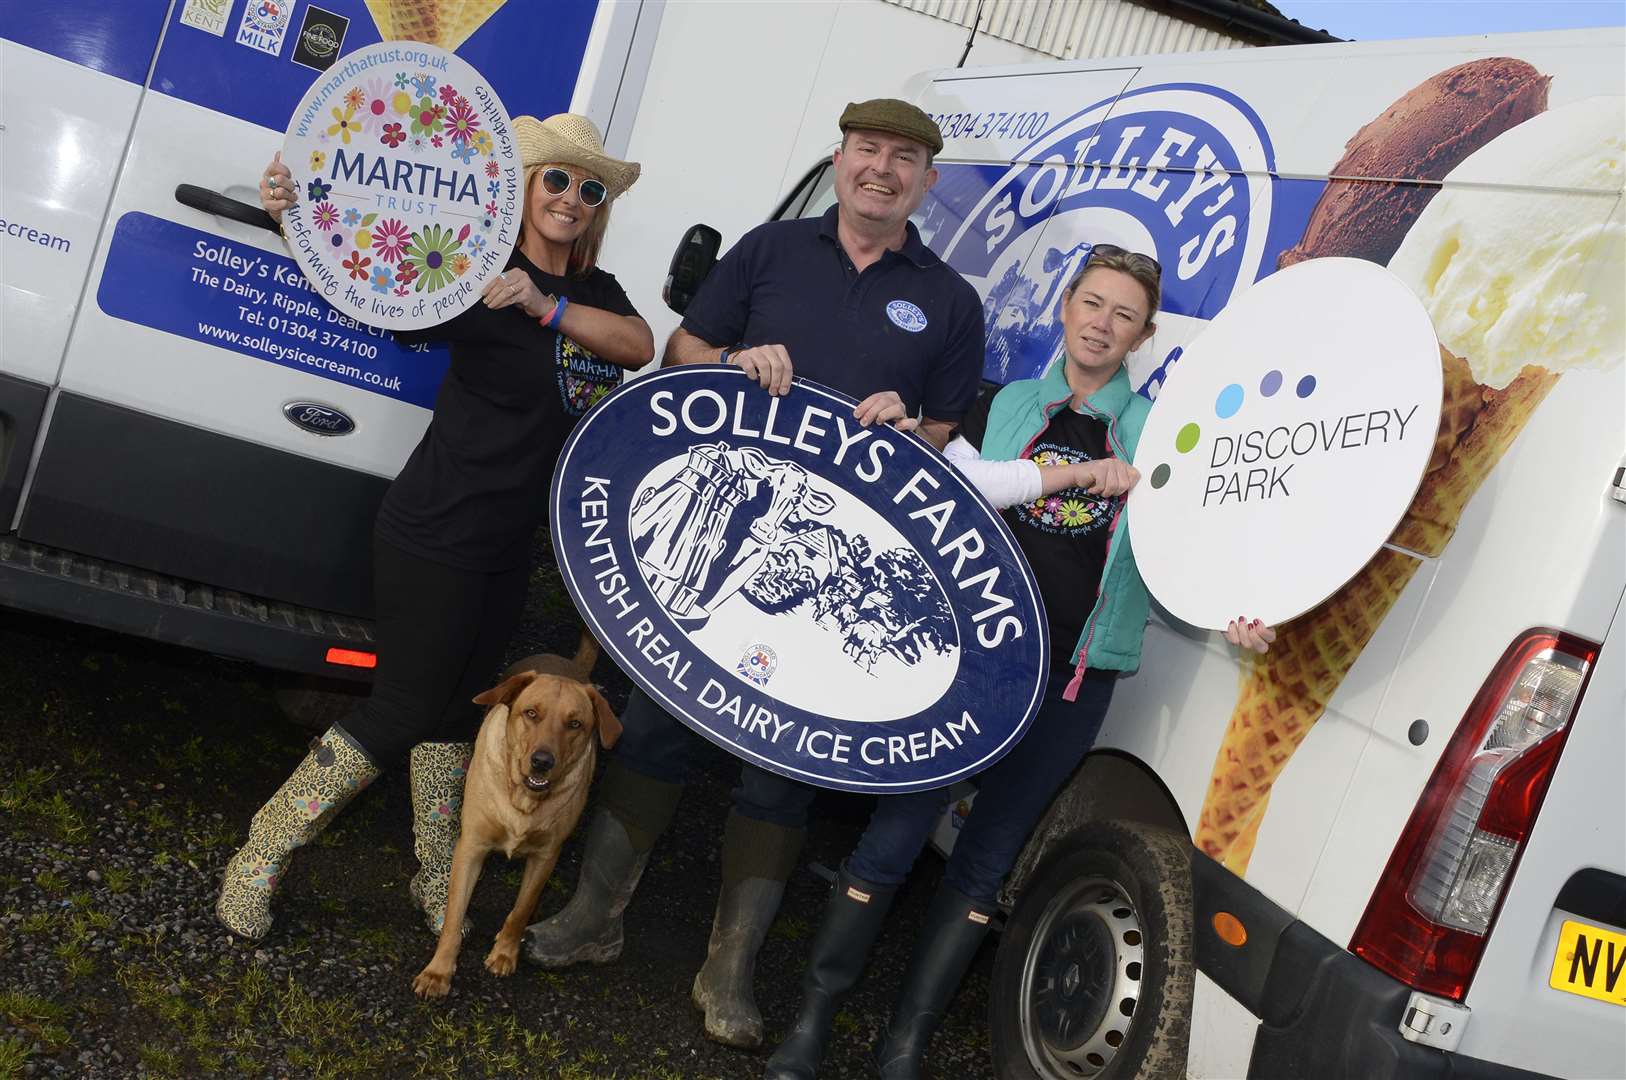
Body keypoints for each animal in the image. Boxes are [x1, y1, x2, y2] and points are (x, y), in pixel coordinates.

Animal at [413, 637, 621, 1001]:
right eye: (531, 713)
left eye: (575, 724)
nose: (542, 761)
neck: (524, 800)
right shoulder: (471, 848)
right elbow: (453, 917)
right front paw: (439, 971)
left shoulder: (546, 856)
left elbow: (521, 909)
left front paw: (505, 953)